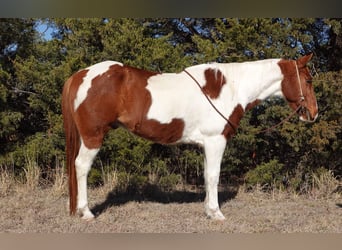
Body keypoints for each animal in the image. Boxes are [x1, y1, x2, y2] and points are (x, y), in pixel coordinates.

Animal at [60, 54, 318, 221]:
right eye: (308, 80)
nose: (314, 113)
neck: (230, 88)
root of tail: (80, 75)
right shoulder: (216, 141)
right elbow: (214, 176)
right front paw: (216, 213)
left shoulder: (207, 144)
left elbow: (205, 175)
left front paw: (208, 210)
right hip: (92, 137)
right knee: (81, 166)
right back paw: (86, 212)